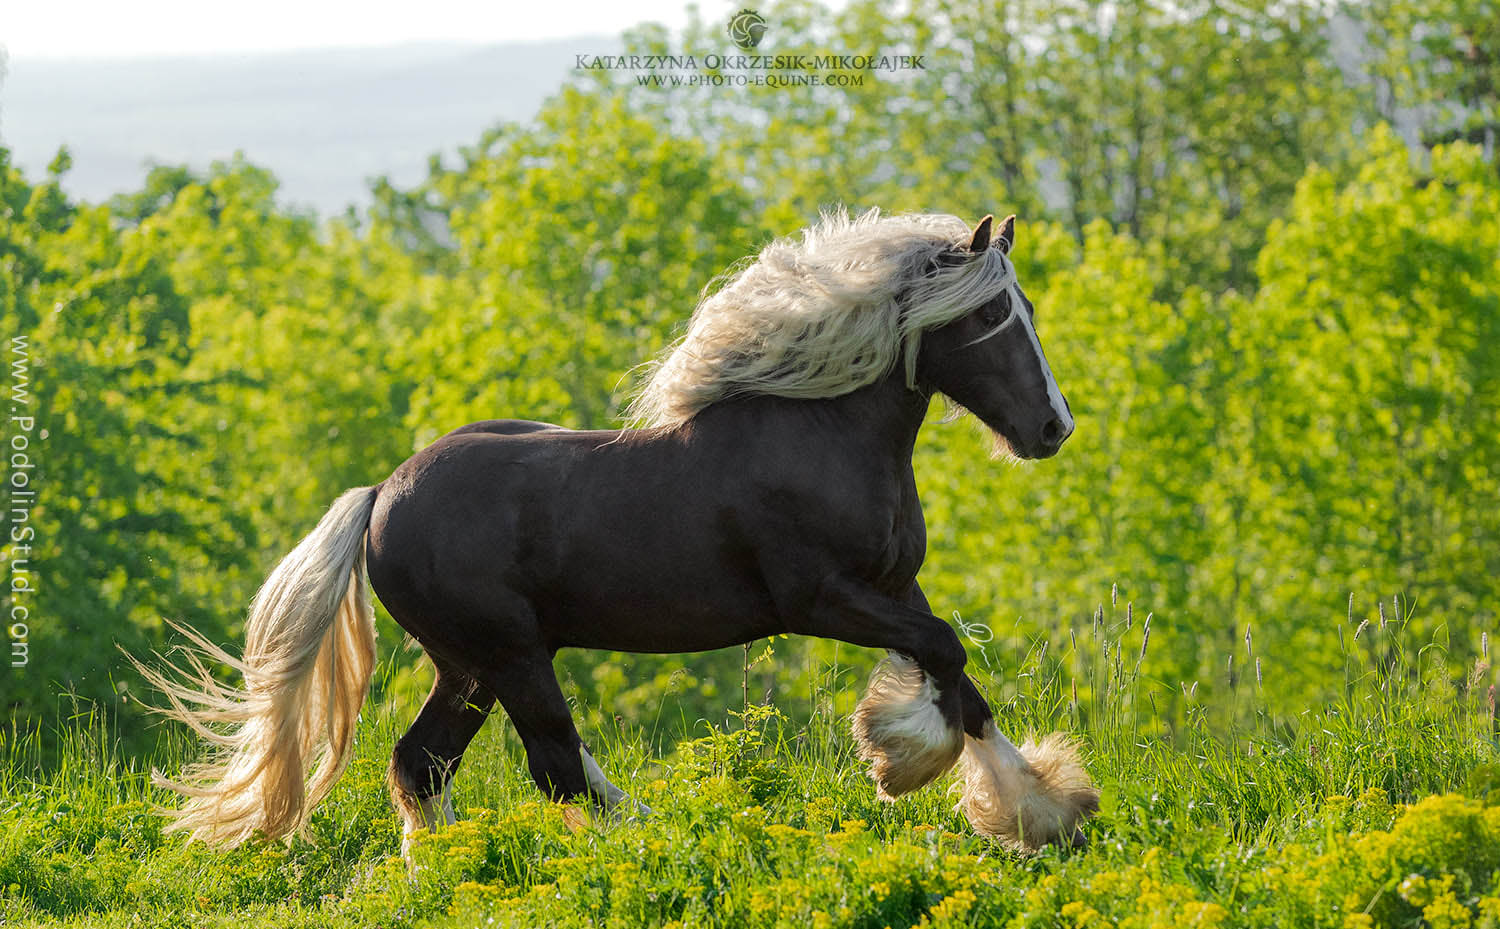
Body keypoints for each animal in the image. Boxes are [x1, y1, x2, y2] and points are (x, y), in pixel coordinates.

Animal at [135, 208, 1104, 858]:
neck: (822, 429)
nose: (1053, 428)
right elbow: (944, 653)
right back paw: (653, 840)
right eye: (992, 317)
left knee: (423, 764)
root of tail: (380, 496)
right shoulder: (822, 599)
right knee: (554, 762)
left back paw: (443, 870)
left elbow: (960, 680)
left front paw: (1038, 812)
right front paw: (902, 763)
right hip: (511, 654)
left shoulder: (896, 586)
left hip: (468, 665)